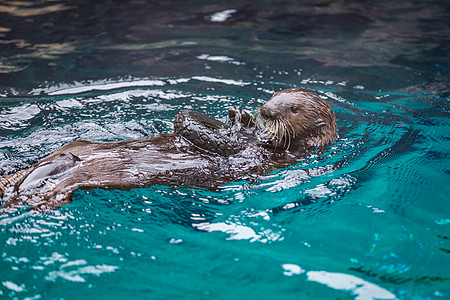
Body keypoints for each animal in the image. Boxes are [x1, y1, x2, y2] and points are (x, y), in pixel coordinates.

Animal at [0, 88, 336, 210]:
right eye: (276, 95)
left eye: (292, 108)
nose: (265, 109)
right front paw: (239, 117)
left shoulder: (260, 156)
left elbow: (209, 135)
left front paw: (240, 122)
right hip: (76, 144)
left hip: (76, 181)